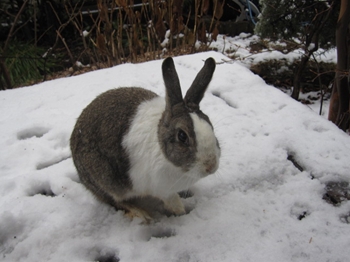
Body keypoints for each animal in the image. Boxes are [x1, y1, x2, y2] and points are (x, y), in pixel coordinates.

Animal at [69, 56, 220, 220]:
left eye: (211, 125)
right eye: (182, 136)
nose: (211, 167)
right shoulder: (161, 189)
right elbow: (173, 201)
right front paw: (181, 212)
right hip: (105, 179)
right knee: (114, 200)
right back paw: (141, 213)